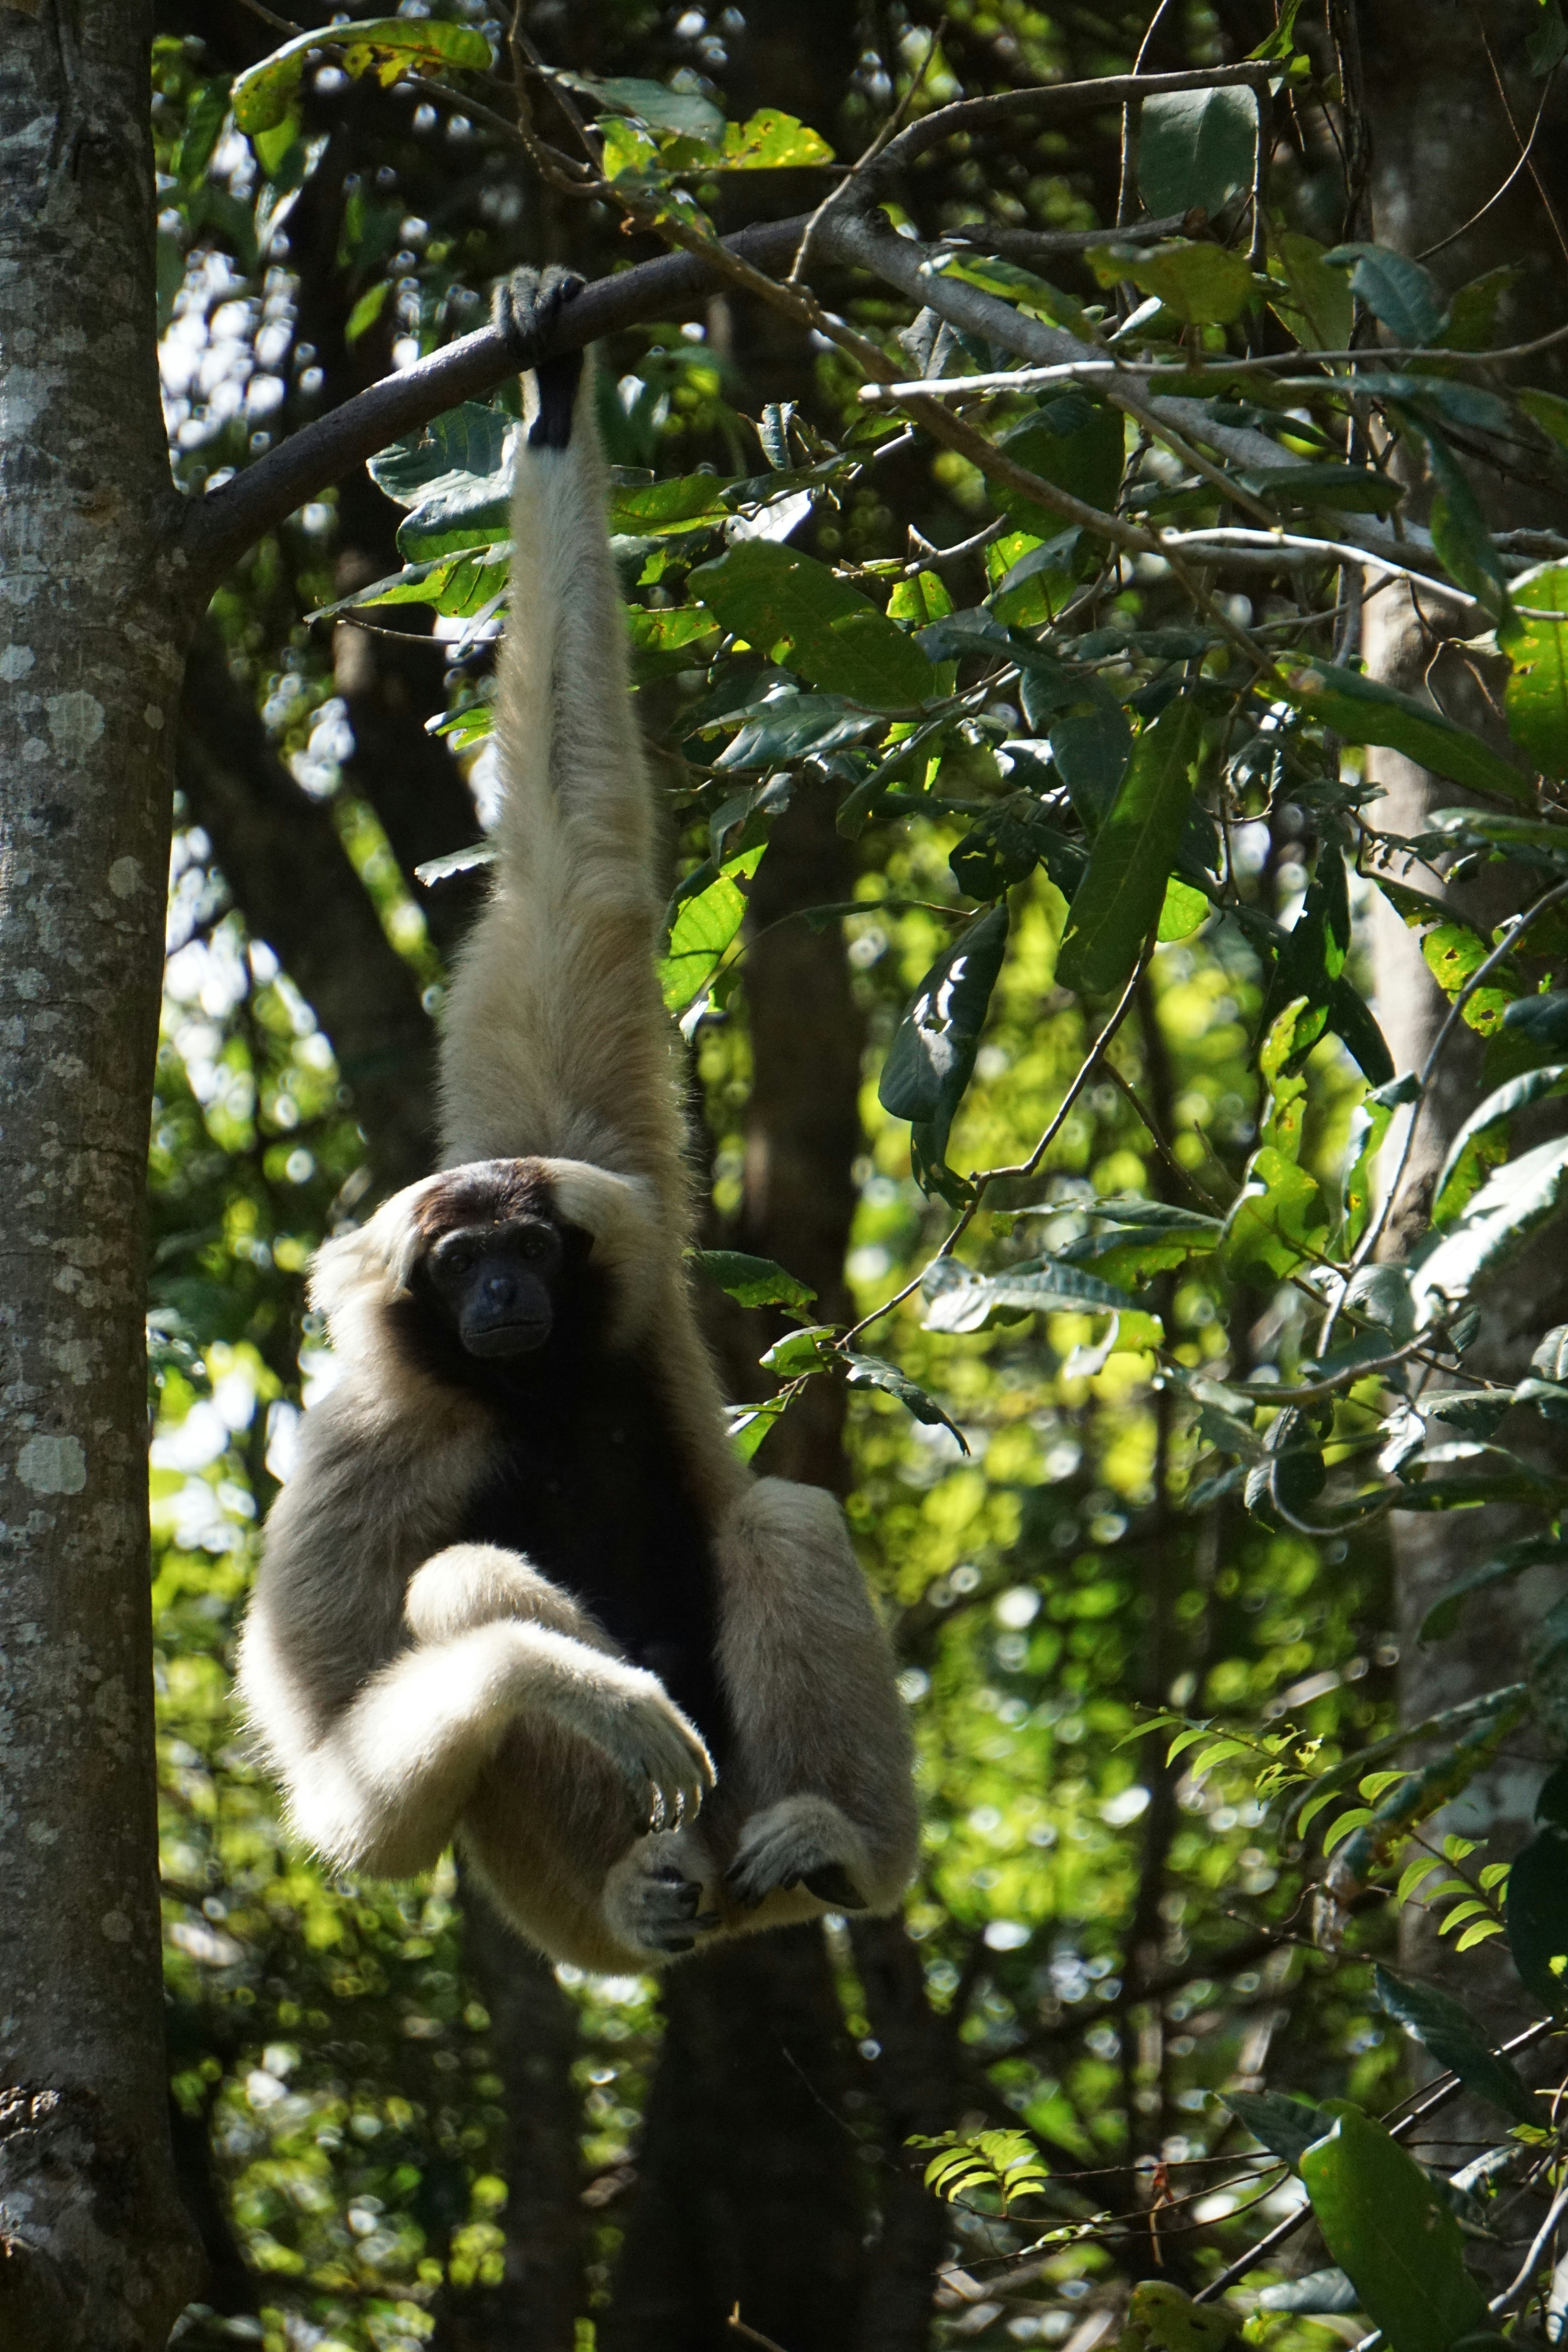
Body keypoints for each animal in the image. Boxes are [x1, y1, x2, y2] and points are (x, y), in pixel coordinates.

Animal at [235, 266, 919, 1973]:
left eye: (531, 1247)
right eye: (453, 1262)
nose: (497, 1293)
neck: (524, 1389)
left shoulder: (608, 1176)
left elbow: (572, 870)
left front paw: (548, 398)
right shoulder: (353, 1456)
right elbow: (351, 1803)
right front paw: (570, 1683)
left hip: (752, 1815)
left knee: (782, 1518)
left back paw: (843, 1853)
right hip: (566, 1900)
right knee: (461, 1592)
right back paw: (639, 1874)